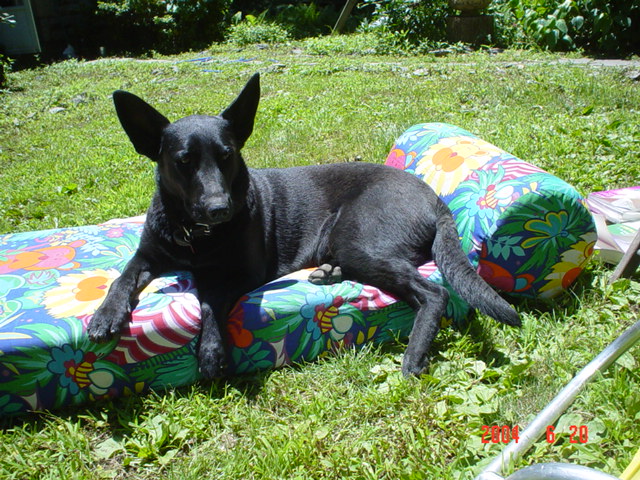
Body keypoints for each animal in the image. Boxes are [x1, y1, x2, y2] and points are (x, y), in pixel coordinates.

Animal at [87, 73, 520, 376]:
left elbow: (209, 299)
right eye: (183, 161)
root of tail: (434, 196)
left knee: (433, 293)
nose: (219, 208)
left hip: (357, 239)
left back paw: (414, 352)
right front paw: (107, 314)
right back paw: (330, 273)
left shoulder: (242, 273)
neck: (196, 235)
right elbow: (123, 276)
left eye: (228, 155)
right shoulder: (149, 253)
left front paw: (210, 350)